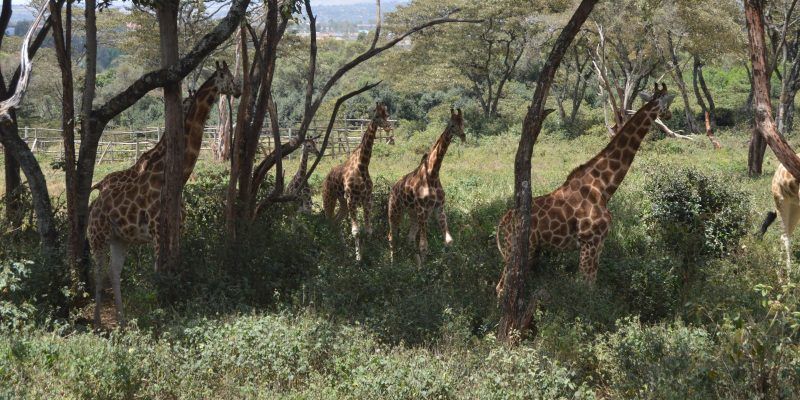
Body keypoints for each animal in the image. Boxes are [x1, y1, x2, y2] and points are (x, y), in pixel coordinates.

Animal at [87, 61, 241, 327]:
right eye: (226, 76)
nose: (239, 90)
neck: (175, 177)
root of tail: (94, 200)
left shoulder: (178, 229)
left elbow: (174, 267)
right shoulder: (158, 231)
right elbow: (158, 271)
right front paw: (159, 310)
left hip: (120, 239)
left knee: (113, 272)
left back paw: (122, 320)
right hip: (98, 236)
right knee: (98, 272)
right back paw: (98, 321)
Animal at [322, 102, 392, 260]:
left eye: (387, 114)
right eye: (376, 115)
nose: (388, 127)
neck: (362, 165)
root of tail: (326, 179)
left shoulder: (367, 199)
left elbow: (368, 230)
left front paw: (370, 255)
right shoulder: (352, 199)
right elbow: (356, 231)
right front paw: (358, 258)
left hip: (343, 203)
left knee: (336, 221)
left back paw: (343, 250)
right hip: (330, 198)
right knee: (328, 221)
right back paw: (332, 250)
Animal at [388, 108, 465, 266]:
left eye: (463, 122)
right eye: (452, 125)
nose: (463, 135)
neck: (433, 174)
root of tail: (393, 188)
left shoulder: (438, 208)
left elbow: (449, 241)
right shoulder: (423, 209)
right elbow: (424, 245)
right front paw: (424, 270)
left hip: (413, 213)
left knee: (409, 237)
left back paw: (411, 262)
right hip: (395, 210)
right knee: (391, 235)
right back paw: (393, 263)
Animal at [495, 83, 675, 296]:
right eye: (667, 101)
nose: (670, 115)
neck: (604, 186)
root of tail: (502, 223)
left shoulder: (599, 243)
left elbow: (591, 283)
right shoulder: (590, 241)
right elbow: (586, 286)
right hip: (520, 250)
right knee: (502, 287)